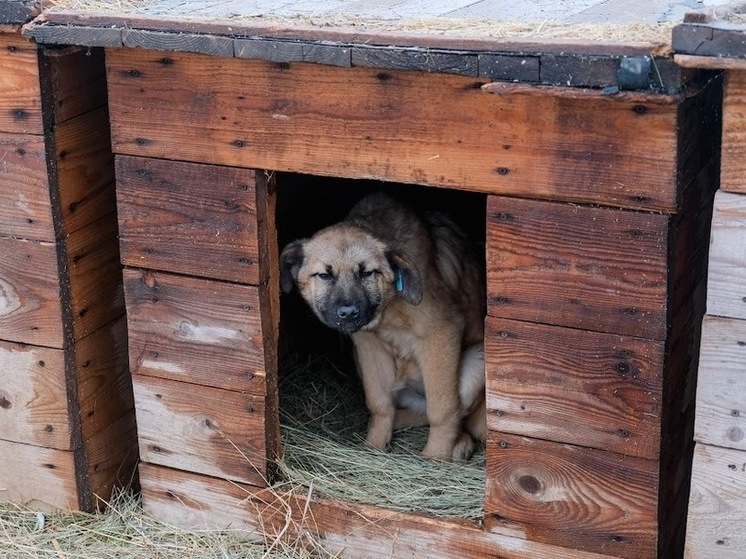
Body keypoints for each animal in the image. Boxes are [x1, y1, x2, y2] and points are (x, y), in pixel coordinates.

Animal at [278, 190, 482, 462]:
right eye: (325, 275)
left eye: (367, 273)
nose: (348, 313)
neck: (390, 306)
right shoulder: (367, 344)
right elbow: (379, 402)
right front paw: (374, 446)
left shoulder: (442, 332)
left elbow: (443, 408)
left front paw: (436, 456)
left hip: (477, 361)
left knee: (455, 412)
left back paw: (460, 444)